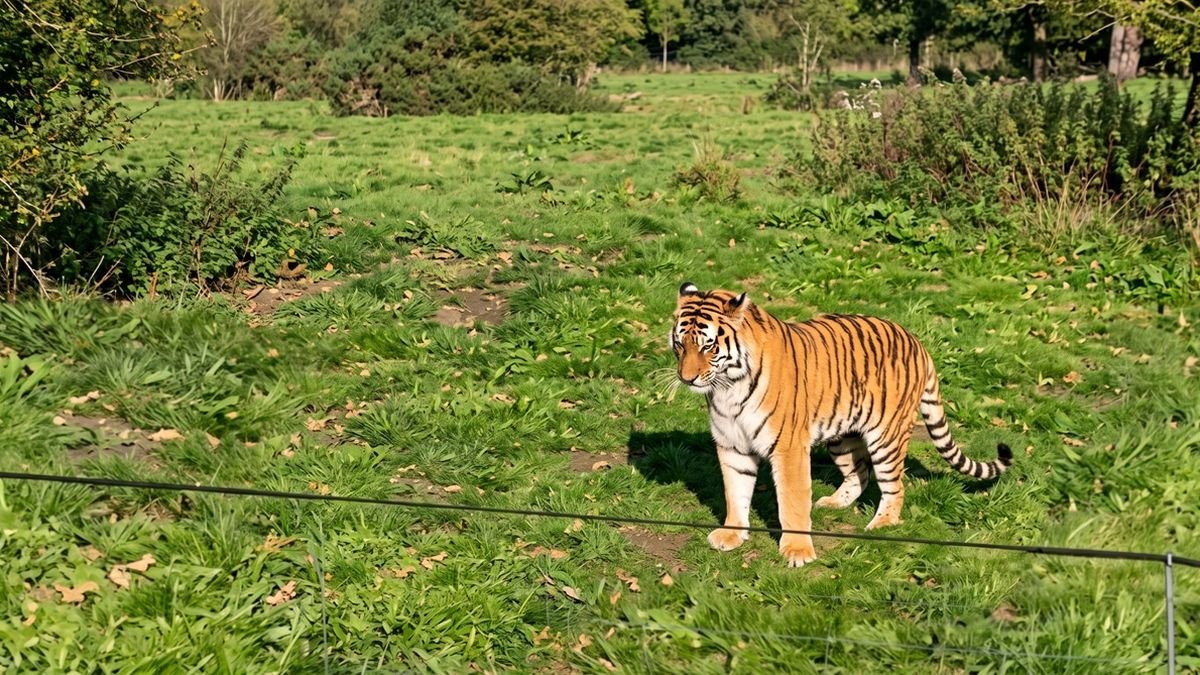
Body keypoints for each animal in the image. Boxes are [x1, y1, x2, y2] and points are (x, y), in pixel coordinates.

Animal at [670, 282, 1013, 567]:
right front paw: (731, 535)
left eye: (708, 346)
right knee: (859, 473)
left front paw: (797, 552)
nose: (686, 378)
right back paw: (833, 503)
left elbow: (792, 501)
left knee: (894, 486)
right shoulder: (732, 445)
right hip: (842, 435)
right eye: (680, 345)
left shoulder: (788, 448)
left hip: (886, 437)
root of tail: (917, 342)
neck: (728, 387)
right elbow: (735, 492)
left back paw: (881, 525)